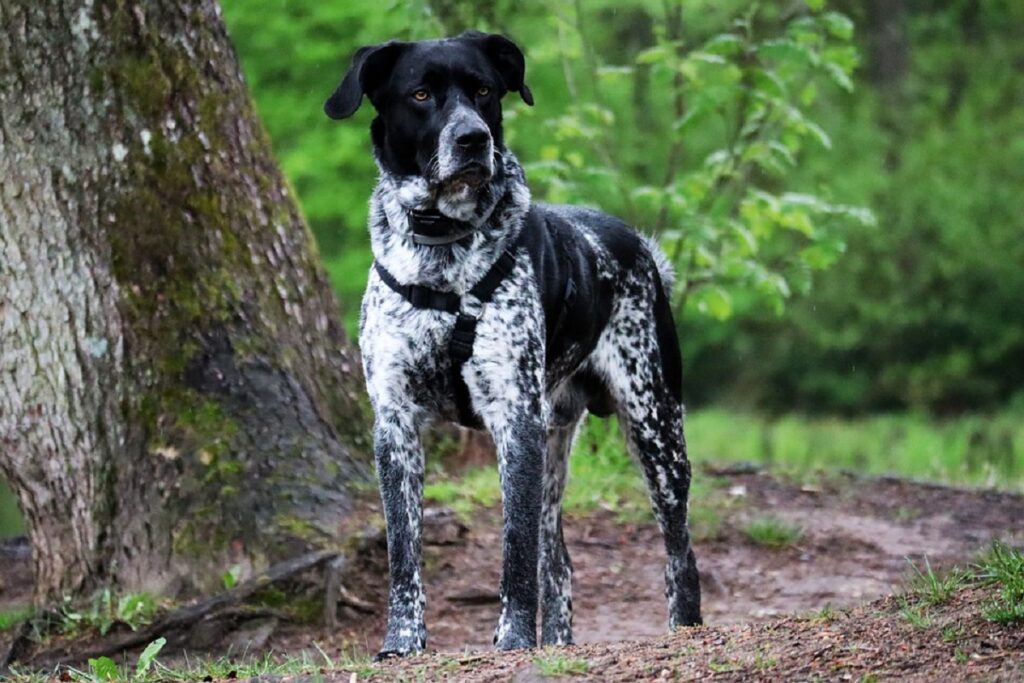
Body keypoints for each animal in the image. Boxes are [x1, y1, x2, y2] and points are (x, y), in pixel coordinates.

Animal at [323, 30, 700, 655]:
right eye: (421, 93)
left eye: (483, 91)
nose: (473, 138)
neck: (443, 254)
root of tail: (640, 247)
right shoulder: (395, 425)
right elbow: (404, 553)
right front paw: (403, 641)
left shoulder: (514, 420)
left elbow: (514, 554)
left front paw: (514, 639)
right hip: (554, 445)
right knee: (560, 562)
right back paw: (560, 643)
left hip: (654, 428)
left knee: (679, 555)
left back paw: (683, 629)